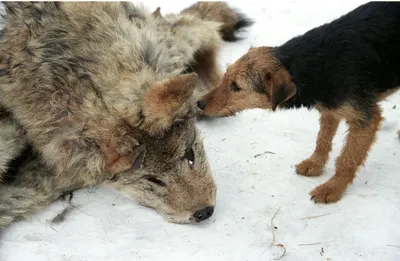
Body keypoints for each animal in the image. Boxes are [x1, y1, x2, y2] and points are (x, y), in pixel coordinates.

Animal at [197, 1, 400, 203]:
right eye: (225, 76)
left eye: (236, 86)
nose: (199, 103)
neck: (316, 64)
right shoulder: (329, 109)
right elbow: (322, 139)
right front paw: (314, 164)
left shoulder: (365, 119)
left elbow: (347, 159)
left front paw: (332, 188)